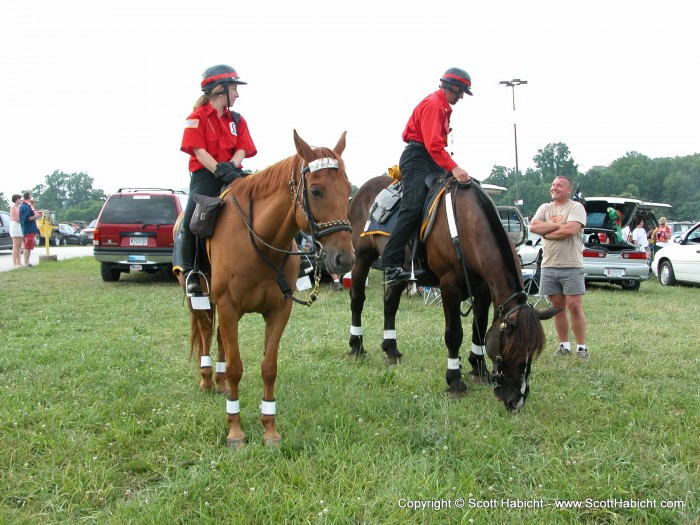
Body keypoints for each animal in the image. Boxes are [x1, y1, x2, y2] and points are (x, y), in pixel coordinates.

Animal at [173, 131, 352, 446]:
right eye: (316, 190)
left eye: (349, 189)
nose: (345, 259)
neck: (258, 241)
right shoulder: (229, 307)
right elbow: (236, 368)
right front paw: (235, 430)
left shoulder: (279, 310)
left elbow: (269, 368)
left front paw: (269, 428)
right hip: (199, 297)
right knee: (206, 332)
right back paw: (207, 378)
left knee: (220, 340)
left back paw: (219, 382)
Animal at [348, 174, 560, 412]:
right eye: (512, 350)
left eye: (532, 352)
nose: (517, 401)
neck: (466, 226)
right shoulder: (449, 288)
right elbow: (454, 334)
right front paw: (455, 380)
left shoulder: (484, 291)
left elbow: (480, 329)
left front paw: (478, 369)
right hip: (362, 258)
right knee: (357, 299)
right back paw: (356, 345)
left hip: (400, 272)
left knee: (390, 303)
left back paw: (391, 349)